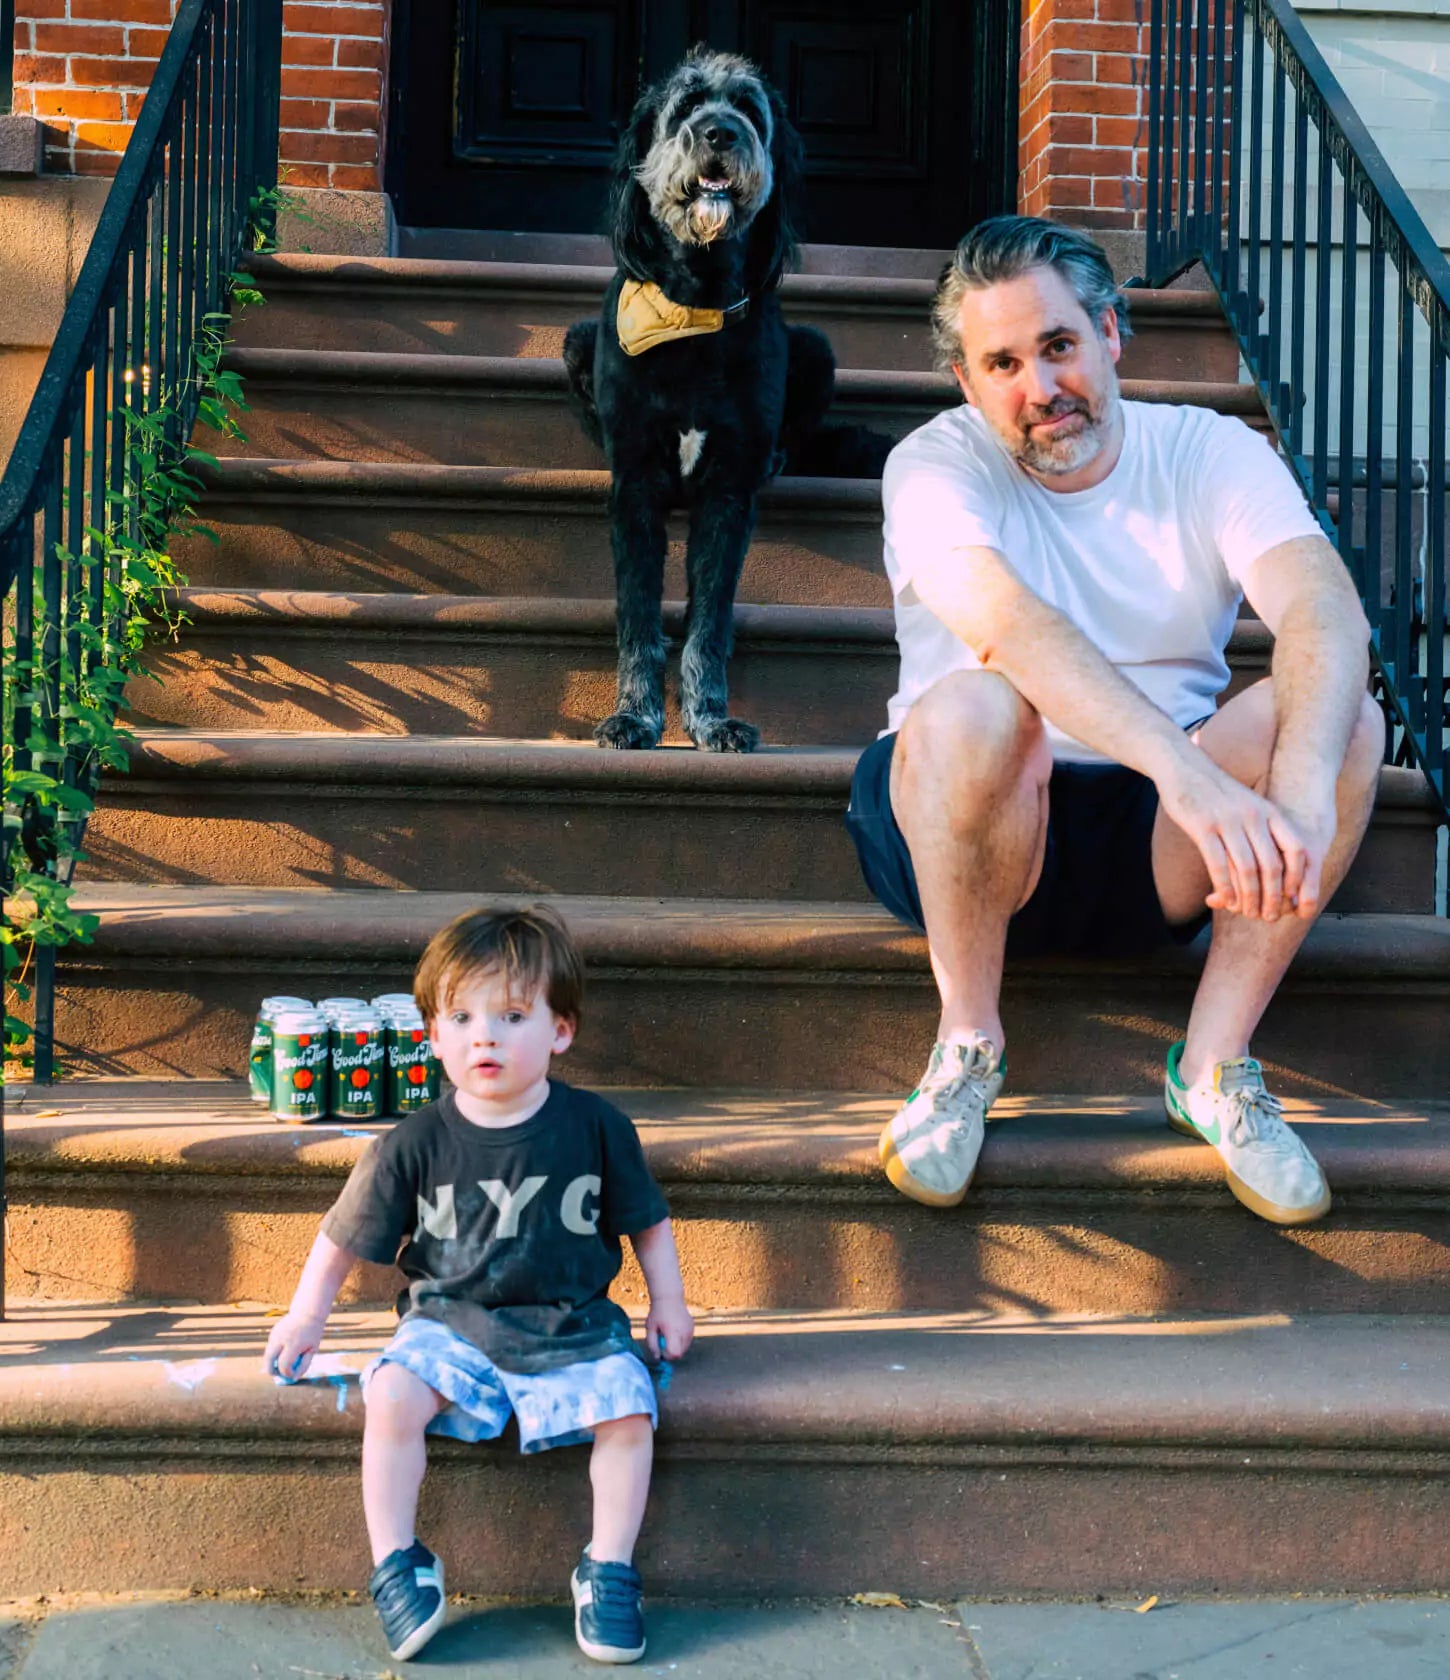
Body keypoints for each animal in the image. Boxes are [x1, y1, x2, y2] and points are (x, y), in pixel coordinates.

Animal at [567, 45, 887, 756]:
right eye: (687, 104)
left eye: (748, 107)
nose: (720, 135)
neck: (695, 306)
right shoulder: (635, 485)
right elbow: (639, 616)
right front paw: (635, 715)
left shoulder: (728, 493)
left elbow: (707, 623)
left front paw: (710, 719)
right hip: (577, 340)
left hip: (817, 349)